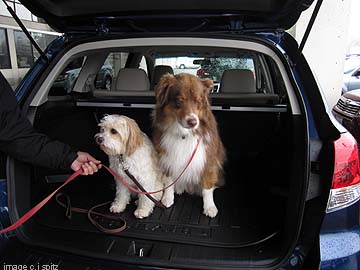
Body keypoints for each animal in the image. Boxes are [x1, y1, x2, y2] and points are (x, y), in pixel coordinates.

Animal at [153, 73, 225, 218]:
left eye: (198, 101)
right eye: (179, 101)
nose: (193, 122)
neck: (184, 134)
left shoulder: (208, 159)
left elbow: (207, 187)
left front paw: (209, 207)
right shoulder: (167, 156)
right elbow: (169, 180)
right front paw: (167, 198)